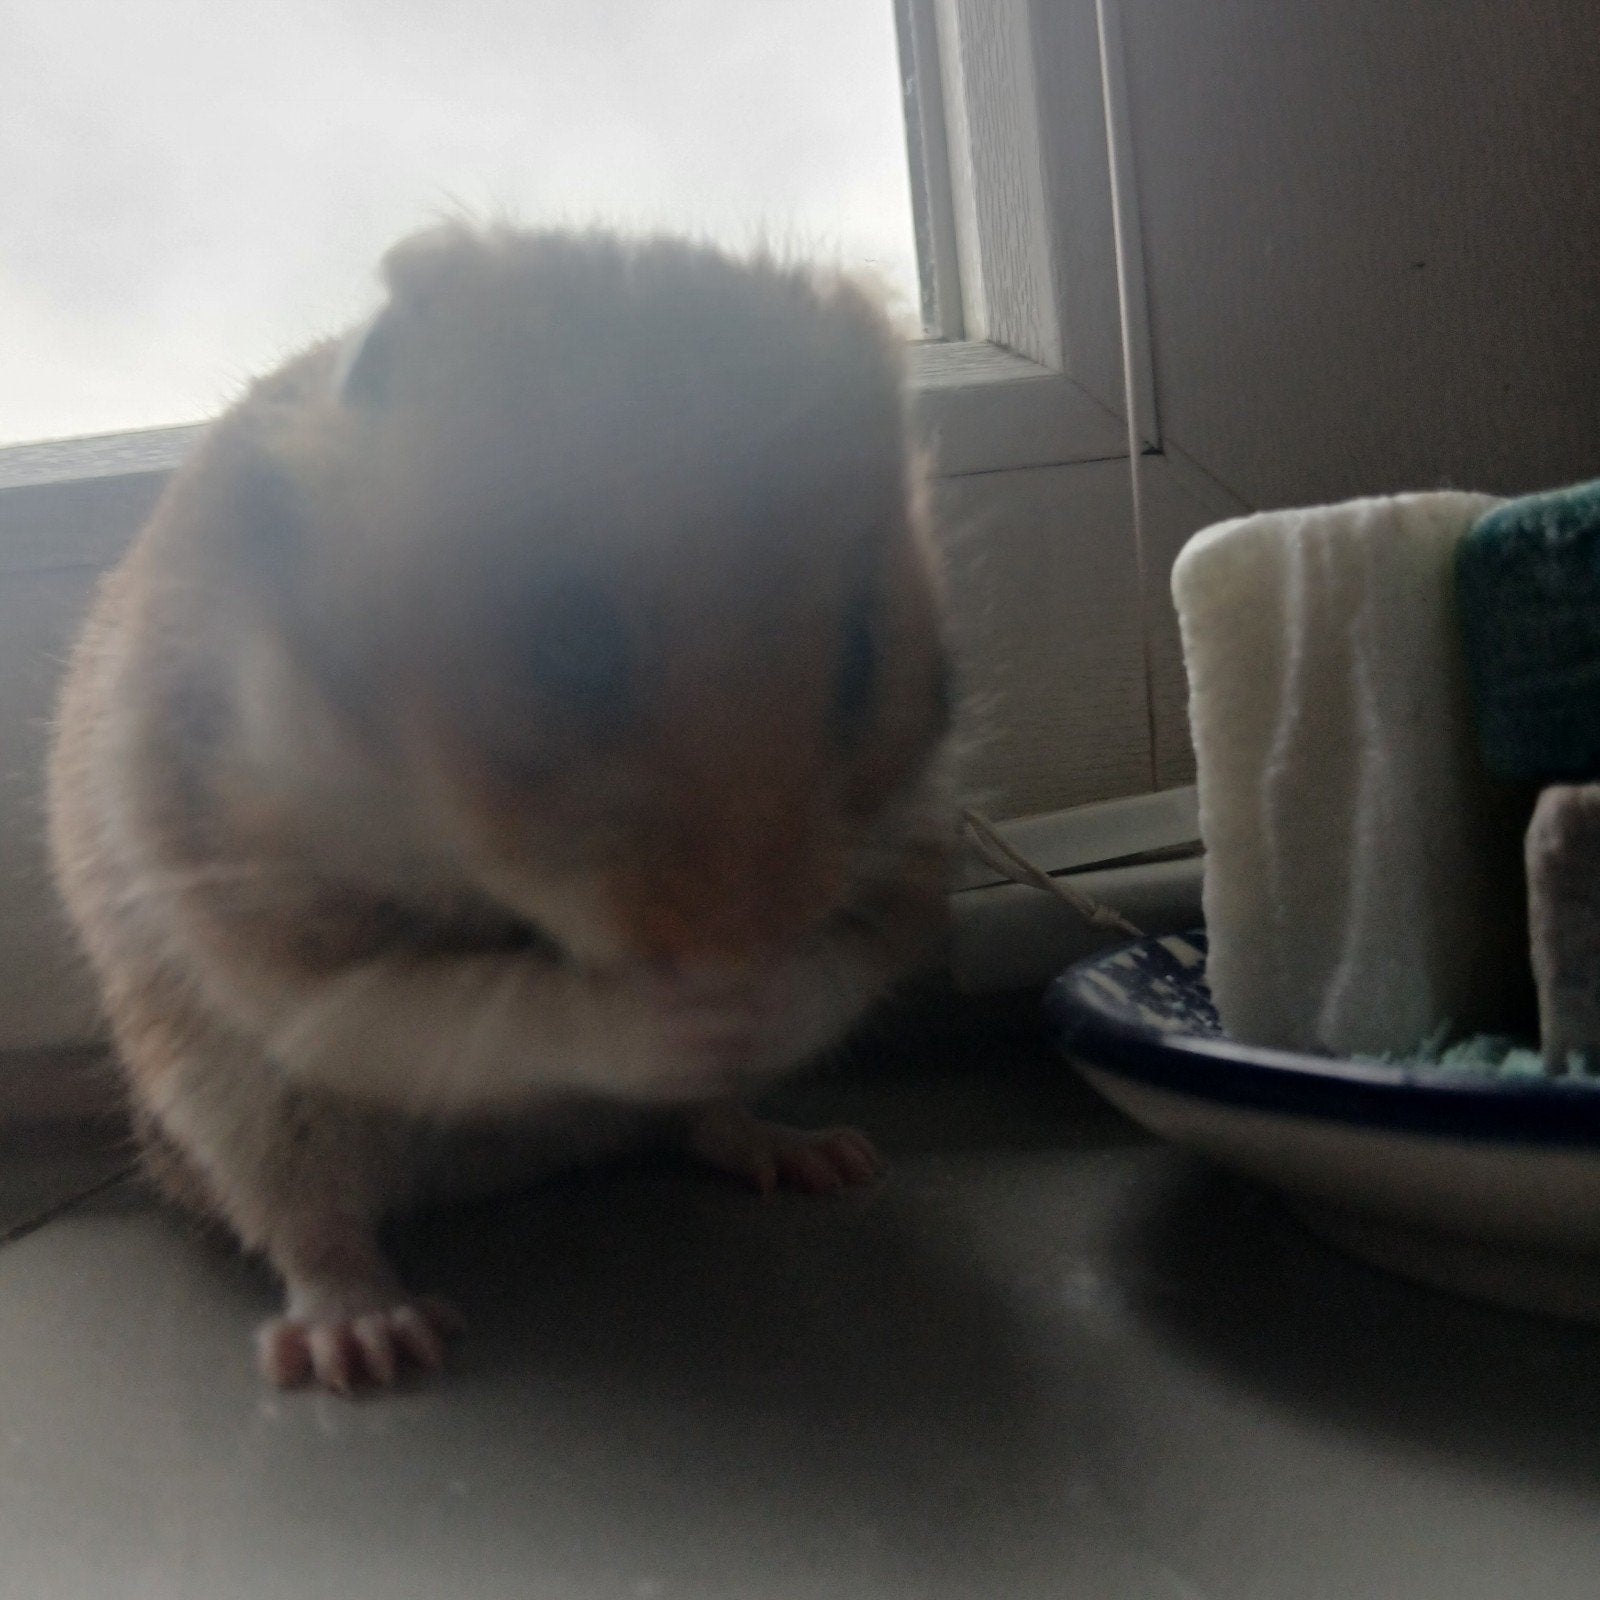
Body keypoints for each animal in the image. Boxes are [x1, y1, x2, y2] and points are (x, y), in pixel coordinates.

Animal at [46, 223, 956, 1392]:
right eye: (569, 643)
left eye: (860, 654)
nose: (733, 949)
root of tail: (511, 1173)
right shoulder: (278, 931)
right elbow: (500, 1007)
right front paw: (686, 1012)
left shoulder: (911, 851)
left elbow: (832, 972)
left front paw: (756, 1012)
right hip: (227, 1100)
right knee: (309, 1220)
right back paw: (371, 1342)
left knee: (701, 1123)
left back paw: (819, 1156)